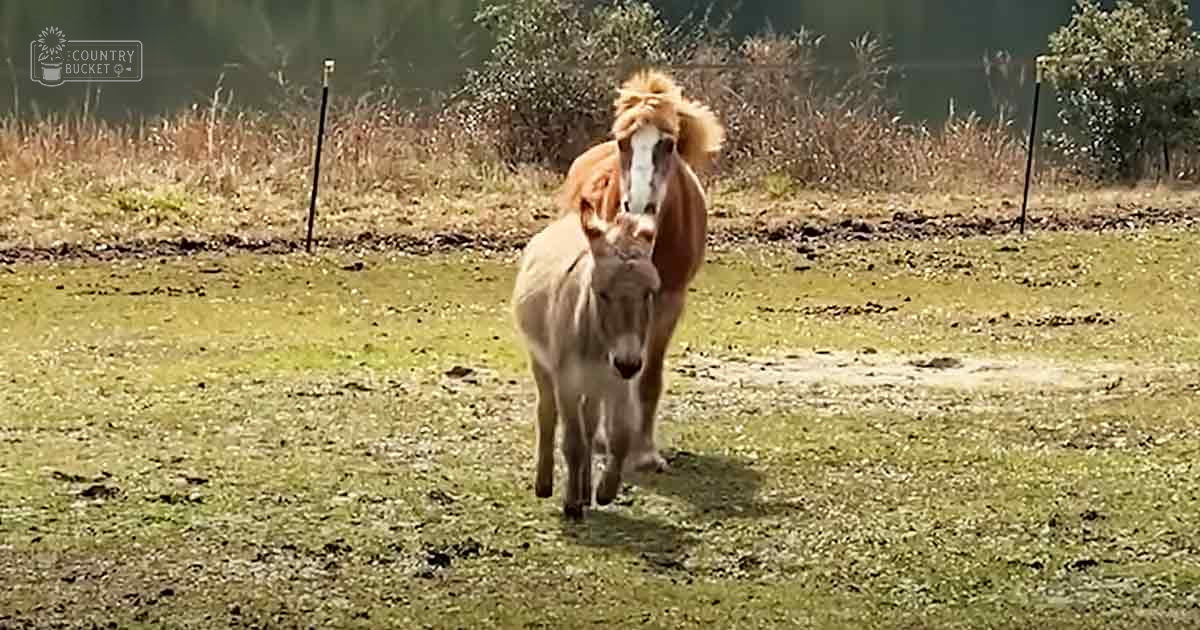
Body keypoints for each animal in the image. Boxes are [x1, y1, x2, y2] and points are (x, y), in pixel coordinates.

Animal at [511, 198, 662, 519]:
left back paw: (585, 491)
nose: (627, 363)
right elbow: (573, 442)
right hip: (542, 366)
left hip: (595, 385)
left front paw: (604, 492)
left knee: (590, 426)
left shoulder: (618, 382)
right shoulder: (567, 383)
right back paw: (545, 484)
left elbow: (619, 436)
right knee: (547, 414)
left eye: (648, 293)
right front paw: (570, 504)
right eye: (601, 293)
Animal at [555, 69, 726, 473]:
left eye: (669, 143)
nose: (636, 207)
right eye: (623, 142)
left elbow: (649, 376)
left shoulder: (668, 301)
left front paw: (645, 452)